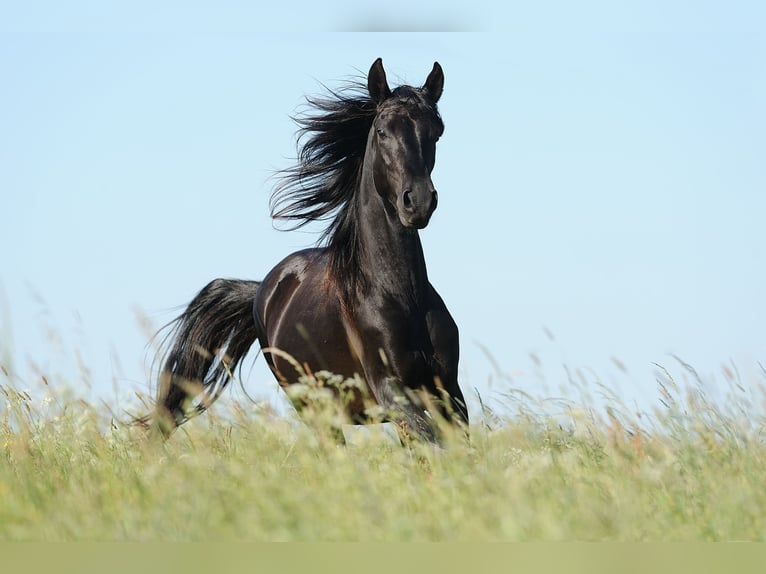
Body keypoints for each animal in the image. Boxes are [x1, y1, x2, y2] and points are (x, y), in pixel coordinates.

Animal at [152, 58, 468, 444]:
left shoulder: (449, 391)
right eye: (382, 131)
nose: (418, 202)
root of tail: (264, 289)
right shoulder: (393, 393)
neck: (401, 296)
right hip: (314, 408)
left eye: (436, 132)